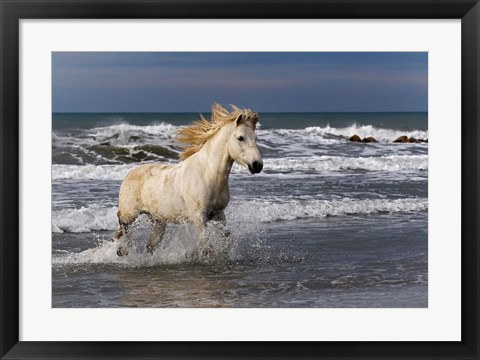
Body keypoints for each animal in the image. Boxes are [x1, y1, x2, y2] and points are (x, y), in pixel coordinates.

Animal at [112, 104, 262, 256]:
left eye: (255, 138)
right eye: (240, 138)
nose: (257, 165)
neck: (207, 174)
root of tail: (129, 174)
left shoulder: (218, 213)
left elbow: (226, 237)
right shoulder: (198, 217)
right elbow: (207, 247)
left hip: (159, 221)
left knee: (150, 245)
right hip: (130, 214)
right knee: (122, 223)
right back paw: (123, 250)